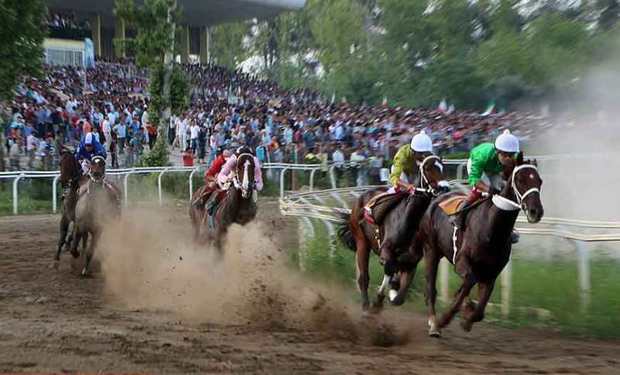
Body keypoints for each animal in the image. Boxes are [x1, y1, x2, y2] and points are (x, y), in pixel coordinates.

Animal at [340, 154, 446, 312]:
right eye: (427, 168)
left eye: (442, 166)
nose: (445, 187)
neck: (409, 220)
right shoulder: (385, 249)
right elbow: (389, 267)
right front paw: (379, 300)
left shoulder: (411, 260)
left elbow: (399, 297)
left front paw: (392, 291)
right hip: (361, 241)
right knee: (363, 277)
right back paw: (366, 306)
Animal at [412, 153, 544, 338]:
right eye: (519, 179)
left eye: (539, 181)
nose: (535, 211)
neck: (492, 229)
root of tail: (436, 197)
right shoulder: (462, 262)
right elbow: (468, 283)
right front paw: (445, 319)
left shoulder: (491, 273)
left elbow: (480, 309)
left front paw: (467, 318)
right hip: (431, 250)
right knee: (430, 288)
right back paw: (434, 324)